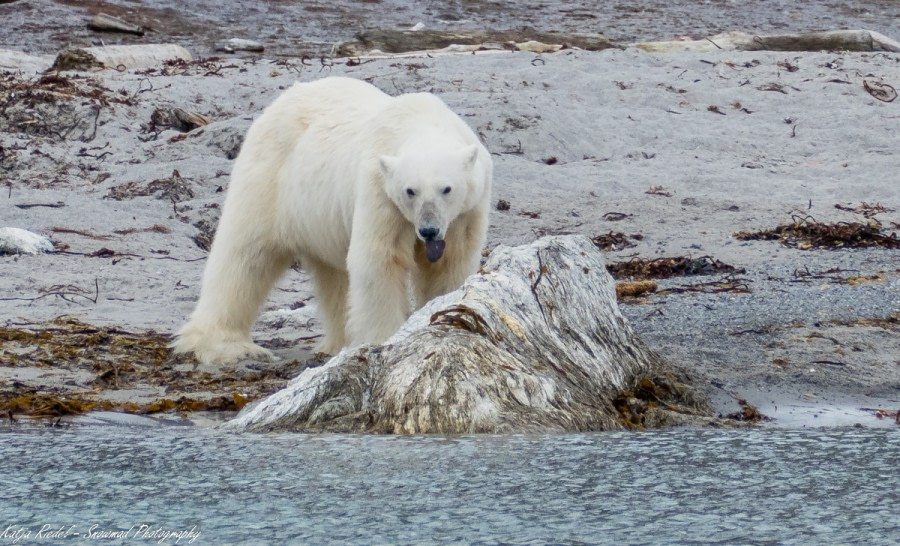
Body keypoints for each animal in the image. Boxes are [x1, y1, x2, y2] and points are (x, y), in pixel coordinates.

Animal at [169, 76, 492, 364]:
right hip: (270, 179)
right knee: (245, 256)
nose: (428, 231)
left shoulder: (467, 211)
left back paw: (339, 342)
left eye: (446, 189)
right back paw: (227, 346)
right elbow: (379, 260)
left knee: (334, 276)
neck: (422, 122)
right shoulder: (379, 194)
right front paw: (384, 338)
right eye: (410, 190)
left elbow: (450, 264)